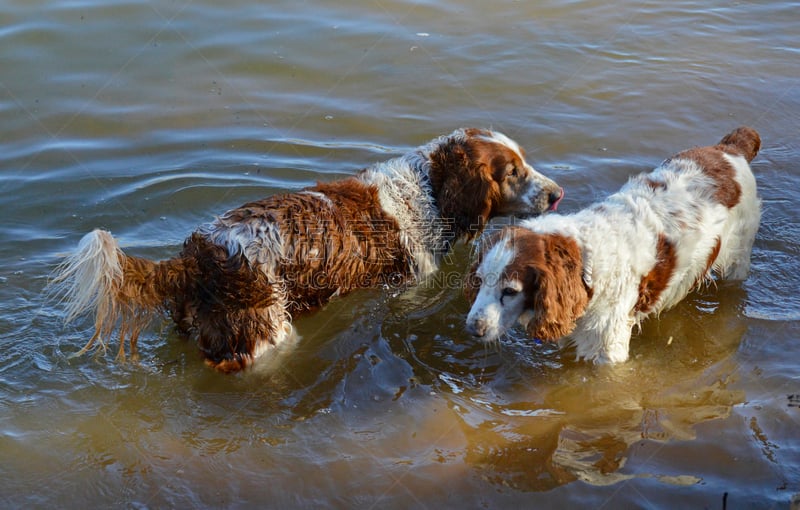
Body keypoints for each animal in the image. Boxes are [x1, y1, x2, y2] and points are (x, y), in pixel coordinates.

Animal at [53, 129, 564, 372]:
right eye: (513, 172)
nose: (558, 193)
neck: (431, 191)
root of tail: (198, 254)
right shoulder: (413, 286)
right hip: (268, 334)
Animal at [462, 126, 764, 364]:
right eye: (480, 280)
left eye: (510, 291)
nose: (473, 329)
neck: (585, 269)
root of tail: (729, 148)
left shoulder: (608, 350)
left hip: (738, 258)